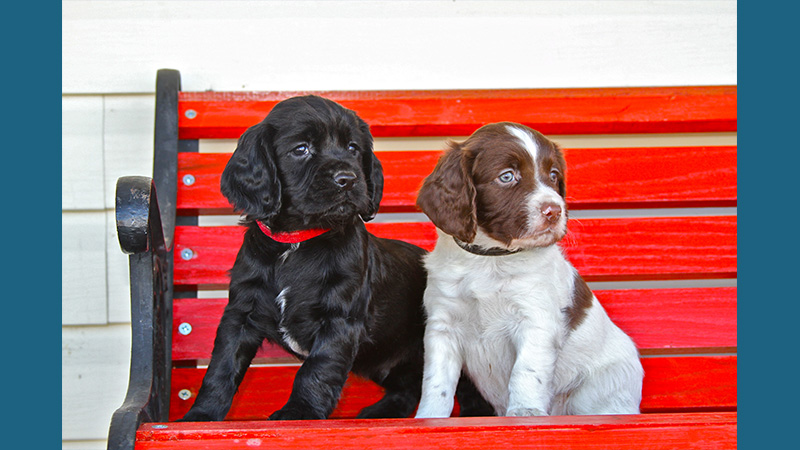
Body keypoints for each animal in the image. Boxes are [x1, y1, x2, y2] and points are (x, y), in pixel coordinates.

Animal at [181, 96, 490, 422]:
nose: (348, 179)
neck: (296, 244)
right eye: (301, 149)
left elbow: (316, 369)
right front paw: (200, 416)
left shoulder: (339, 317)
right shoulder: (241, 312)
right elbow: (221, 366)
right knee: (408, 387)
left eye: (353, 148)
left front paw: (299, 412)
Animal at [412, 121, 644, 416]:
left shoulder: (536, 319)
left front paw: (524, 411)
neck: (490, 259)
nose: (554, 211)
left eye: (554, 174)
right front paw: (430, 417)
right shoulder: (443, 325)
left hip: (602, 390)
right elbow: (437, 381)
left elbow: (527, 371)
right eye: (507, 176)